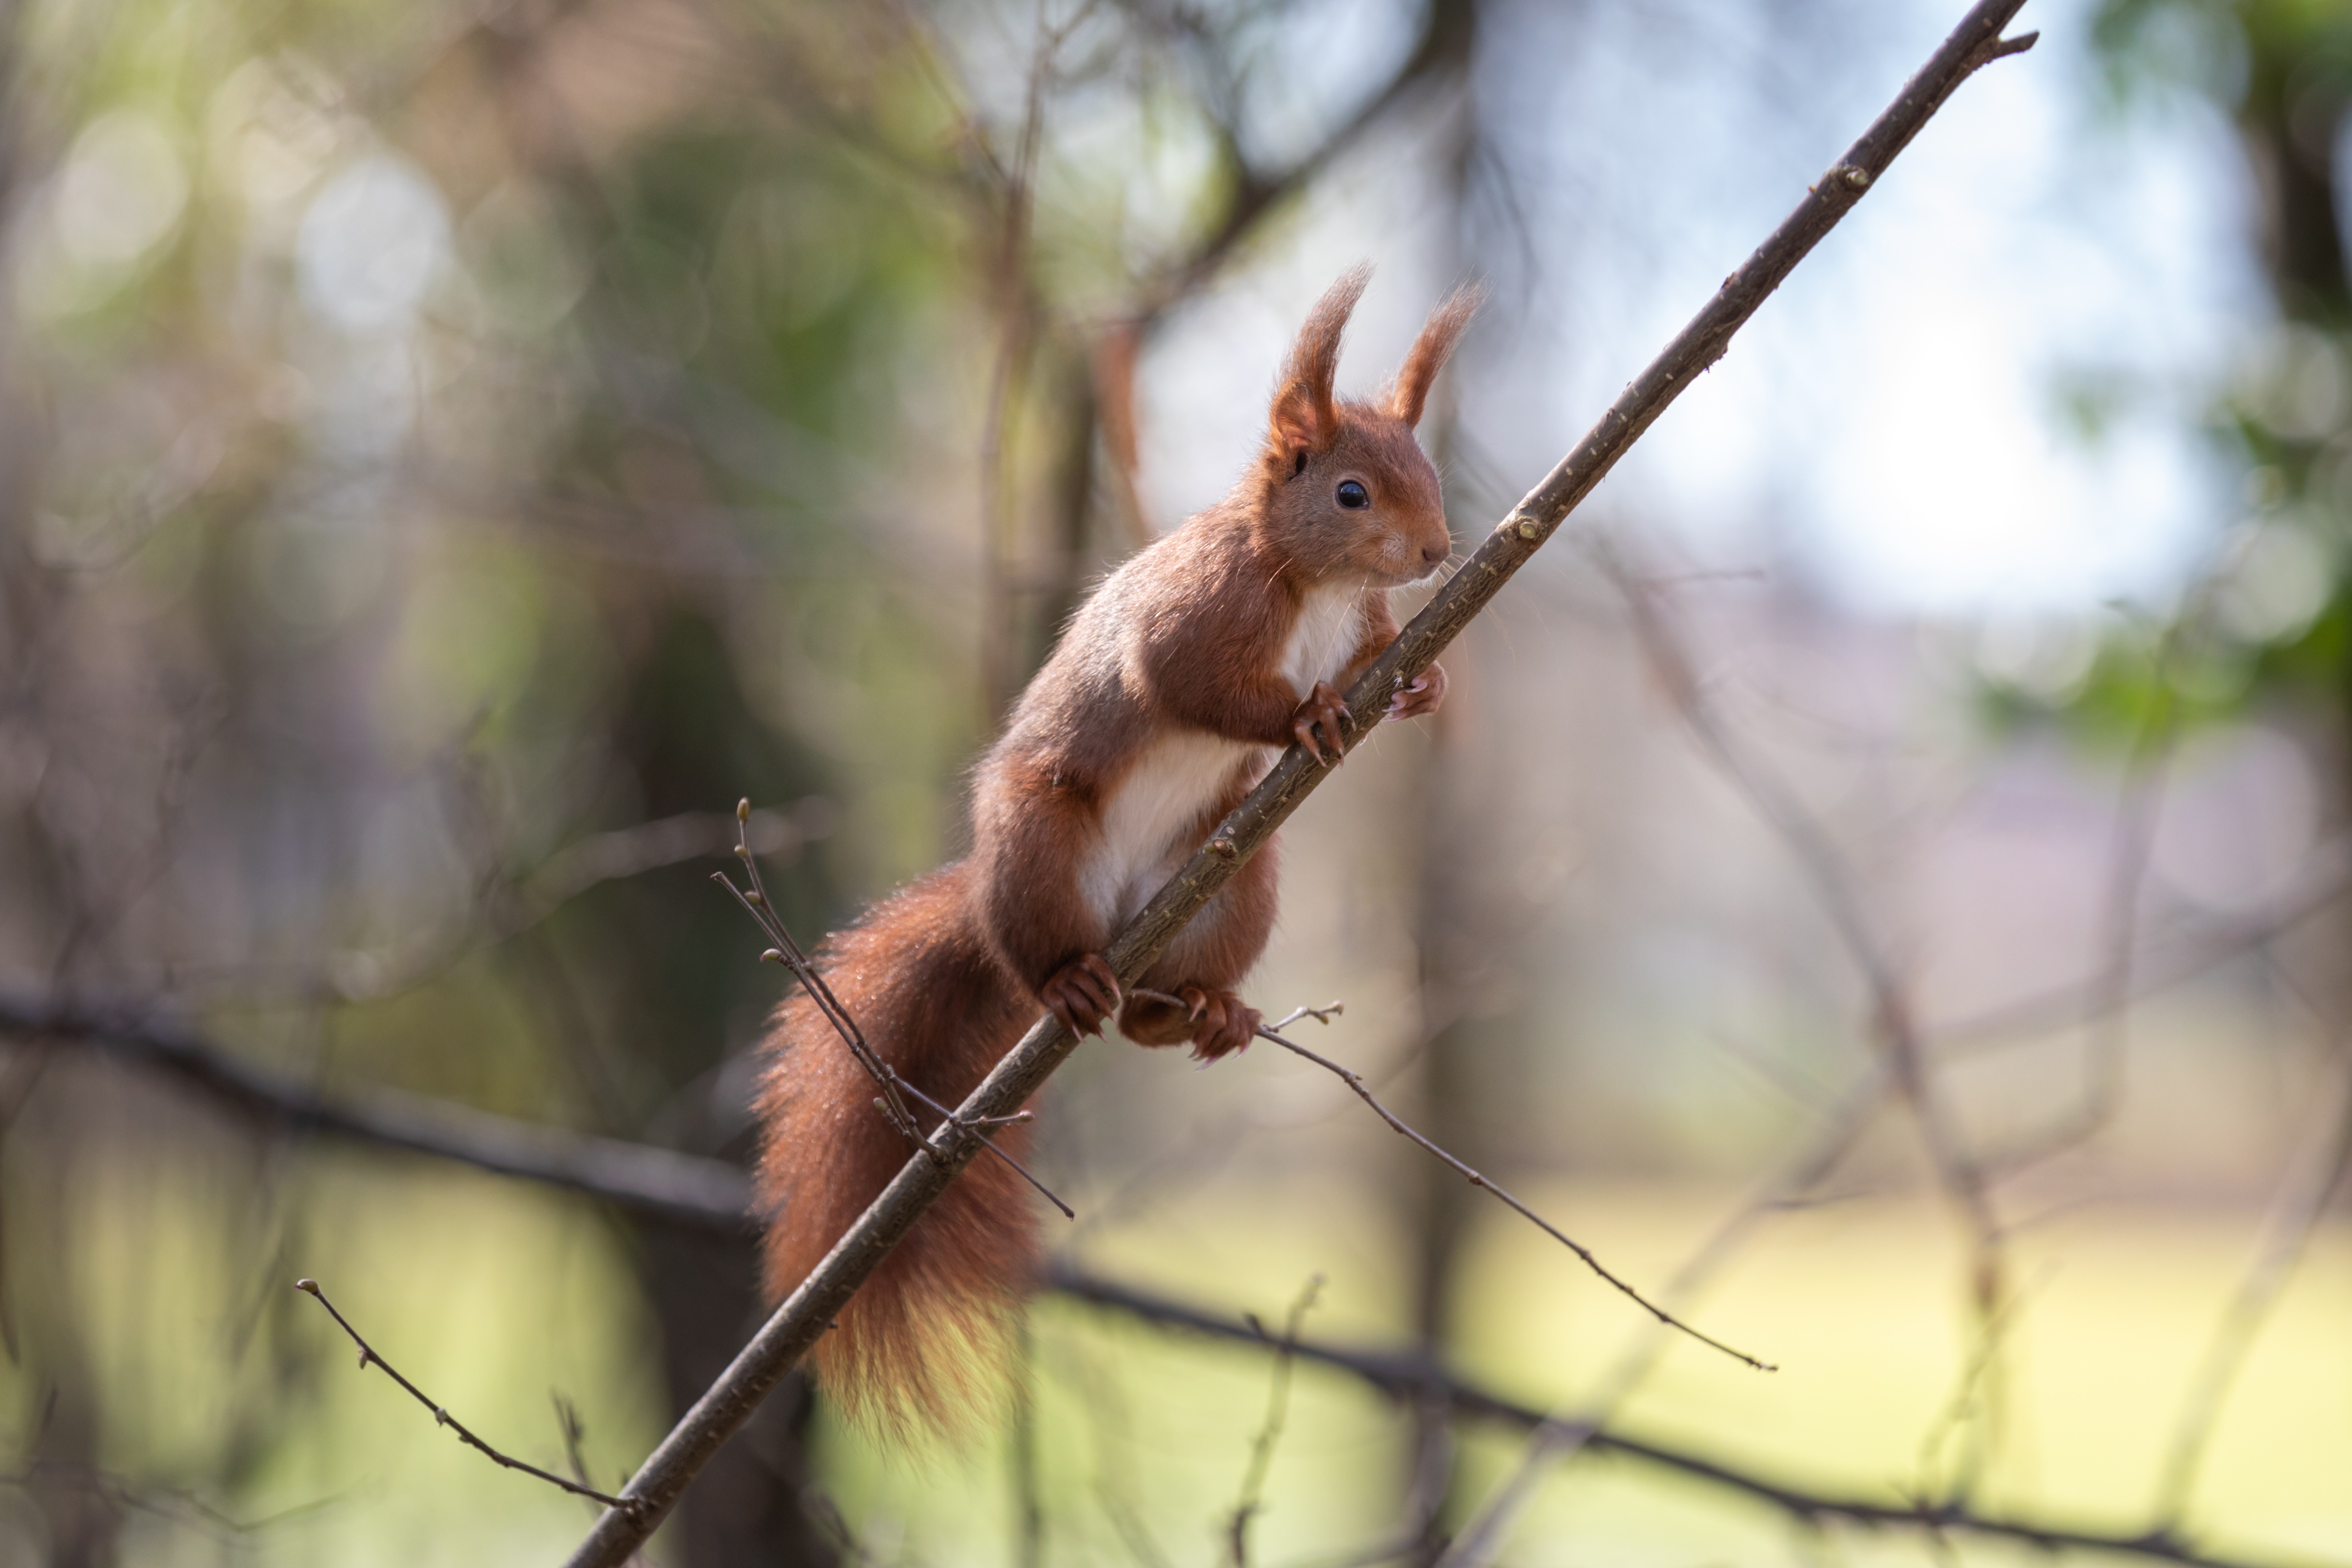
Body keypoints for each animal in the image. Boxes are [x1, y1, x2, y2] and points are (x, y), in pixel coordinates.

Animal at [752, 270, 1477, 1439]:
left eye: (1432, 478)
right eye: (1352, 493)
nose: (1435, 554)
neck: (1311, 584)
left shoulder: (1363, 628)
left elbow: (1377, 657)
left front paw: (1425, 686)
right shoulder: (1200, 612)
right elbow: (1190, 681)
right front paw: (1306, 716)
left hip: (1240, 884)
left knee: (1154, 1014)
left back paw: (1202, 1011)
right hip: (1041, 845)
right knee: (1041, 959)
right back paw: (1068, 982)